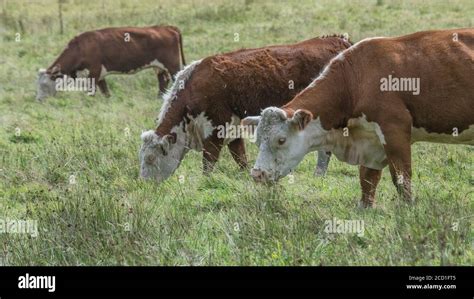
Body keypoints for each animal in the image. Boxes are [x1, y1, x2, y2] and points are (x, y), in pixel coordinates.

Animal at [35, 25, 185, 101]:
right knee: (163, 80)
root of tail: (166, 27)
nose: (38, 100)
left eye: (44, 84)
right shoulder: (99, 74)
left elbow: (91, 91)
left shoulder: (94, 71)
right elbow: (105, 90)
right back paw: (160, 97)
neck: (80, 48)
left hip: (173, 65)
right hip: (158, 66)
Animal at [138, 36, 352, 184]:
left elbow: (209, 161)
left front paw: (205, 181)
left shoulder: (216, 129)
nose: (143, 184)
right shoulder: (234, 131)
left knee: (324, 152)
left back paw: (318, 176)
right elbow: (240, 158)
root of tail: (338, 40)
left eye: (150, 158)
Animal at [244, 29, 474, 209]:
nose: (257, 174)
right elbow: (367, 178)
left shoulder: (394, 130)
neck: (357, 79)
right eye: (257, 140)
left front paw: (408, 208)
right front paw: (365, 207)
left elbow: (401, 175)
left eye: (281, 140)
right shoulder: (369, 139)